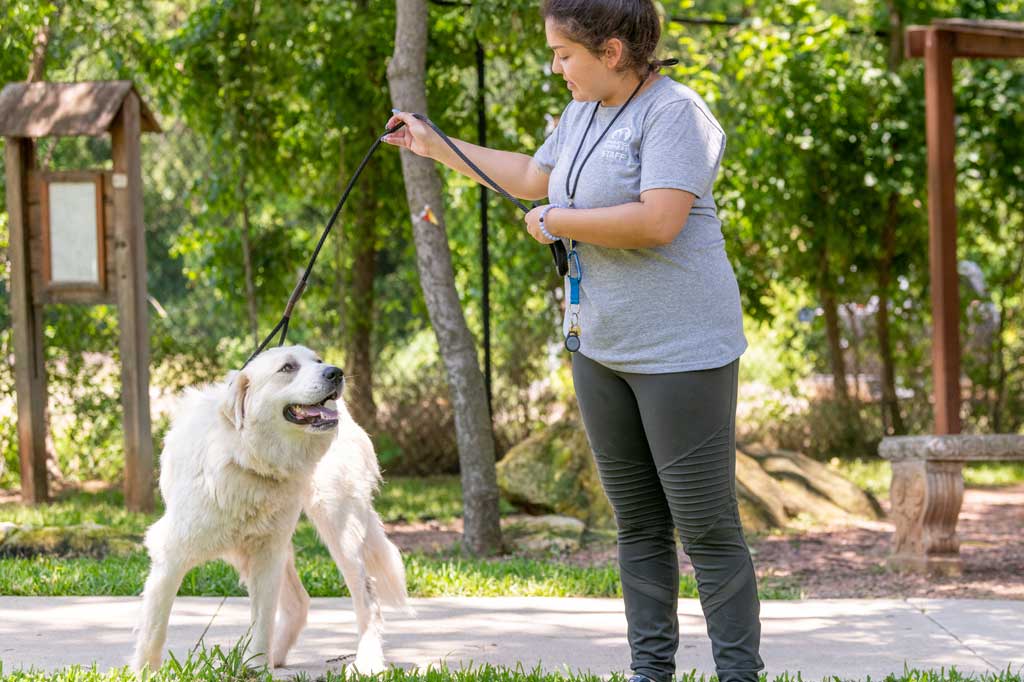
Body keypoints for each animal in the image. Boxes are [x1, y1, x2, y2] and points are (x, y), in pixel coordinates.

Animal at [132, 348, 407, 671]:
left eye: (317, 360)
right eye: (287, 367)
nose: (335, 372)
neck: (248, 460)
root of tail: (346, 414)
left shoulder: (266, 558)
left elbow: (262, 623)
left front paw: (256, 669)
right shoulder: (172, 555)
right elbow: (155, 628)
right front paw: (144, 672)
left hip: (338, 528)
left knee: (367, 599)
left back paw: (368, 661)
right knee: (300, 602)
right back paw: (276, 657)